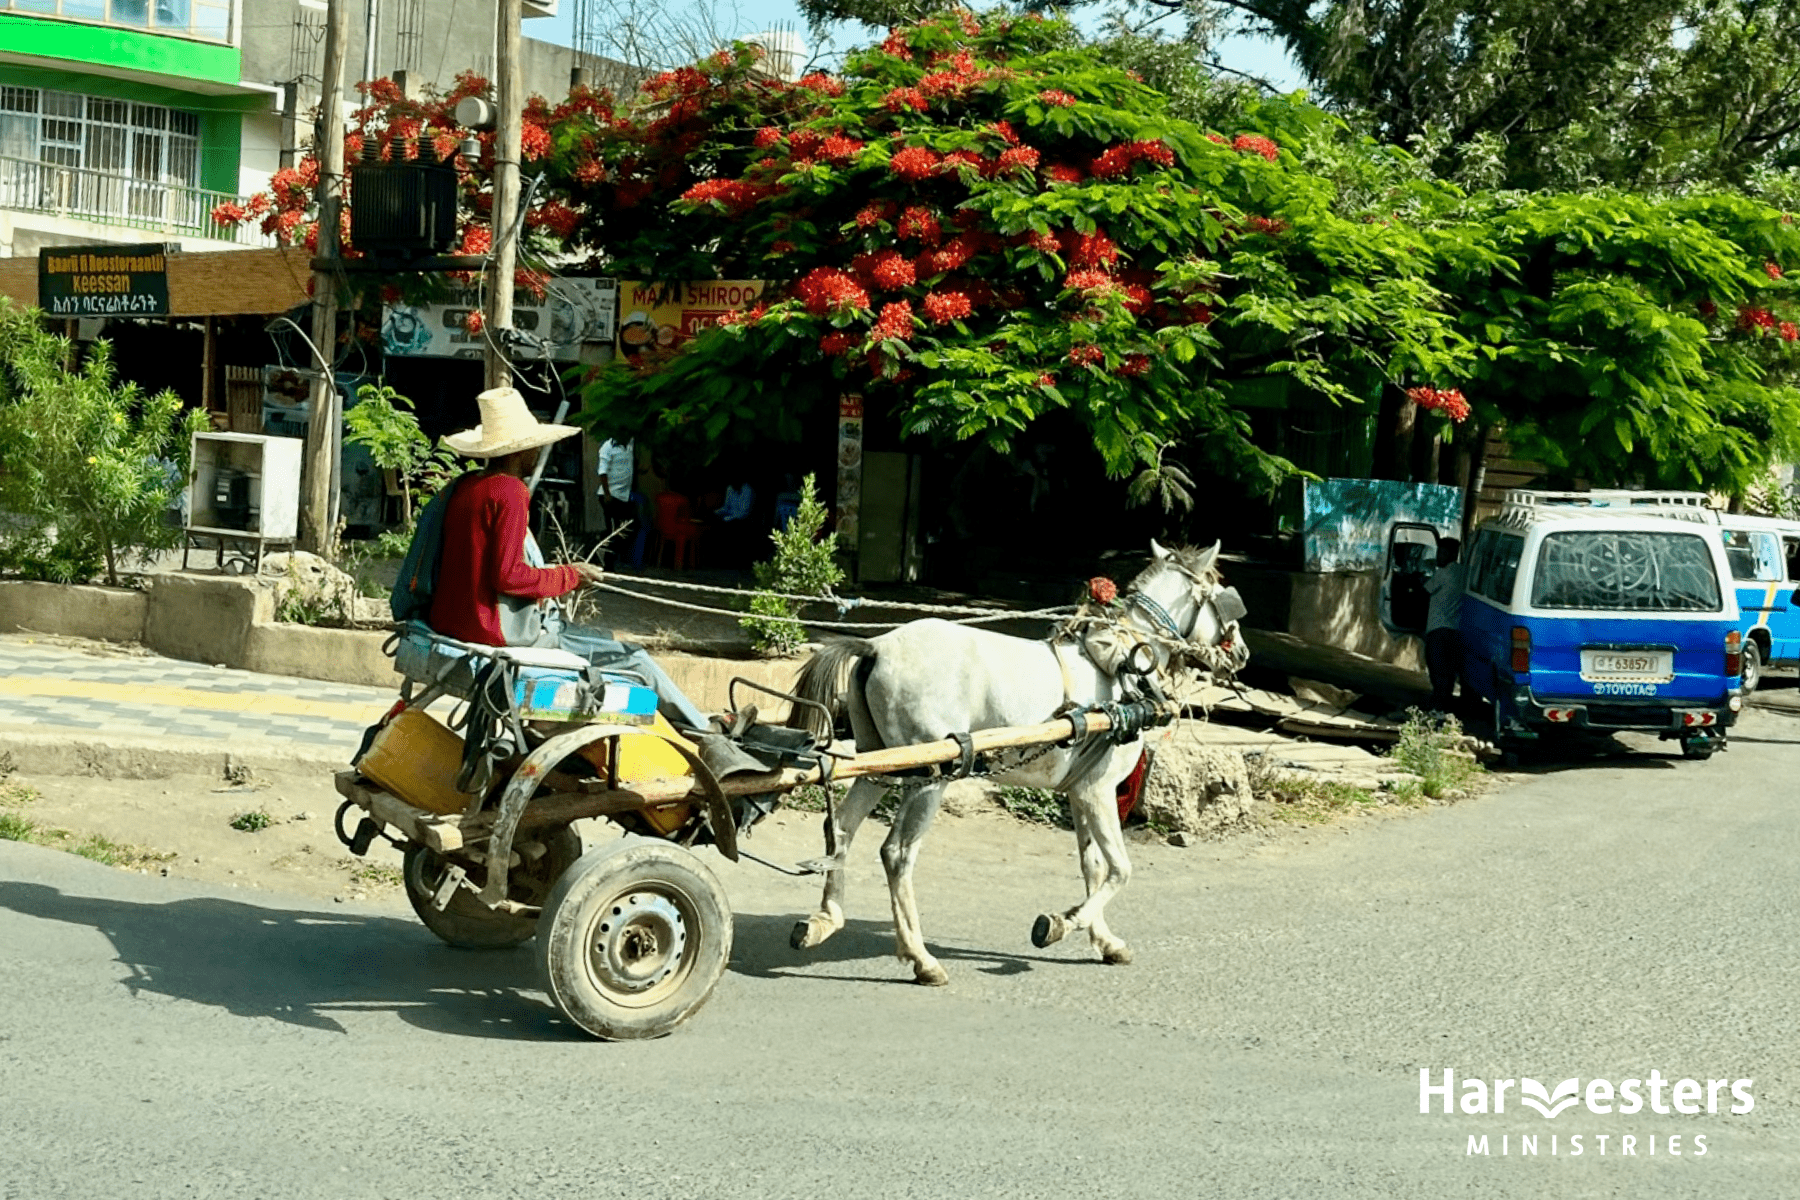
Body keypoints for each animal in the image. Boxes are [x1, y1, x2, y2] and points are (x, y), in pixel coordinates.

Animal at [788, 543, 1252, 985]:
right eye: (1223, 594)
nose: (1243, 653)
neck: (1124, 662)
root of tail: (877, 647)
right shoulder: (1100, 789)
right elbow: (1120, 868)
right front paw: (1062, 923)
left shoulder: (1080, 791)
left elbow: (1093, 866)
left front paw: (1105, 940)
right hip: (930, 777)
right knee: (897, 853)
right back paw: (922, 959)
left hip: (880, 766)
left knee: (841, 828)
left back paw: (824, 921)